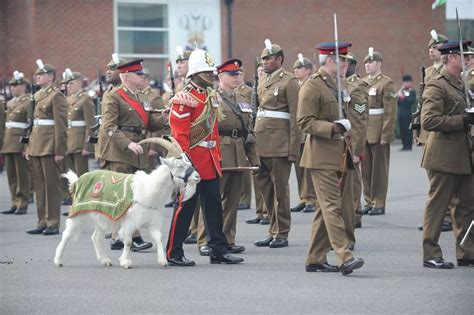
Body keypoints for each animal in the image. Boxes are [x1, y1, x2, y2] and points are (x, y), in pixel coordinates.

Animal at [53, 138, 200, 270]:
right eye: (180, 166)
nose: (197, 177)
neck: (148, 188)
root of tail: (77, 181)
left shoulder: (152, 220)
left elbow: (159, 237)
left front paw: (163, 261)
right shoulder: (130, 221)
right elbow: (128, 241)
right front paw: (125, 262)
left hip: (102, 215)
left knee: (96, 237)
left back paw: (105, 260)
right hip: (79, 212)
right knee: (67, 234)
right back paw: (58, 260)